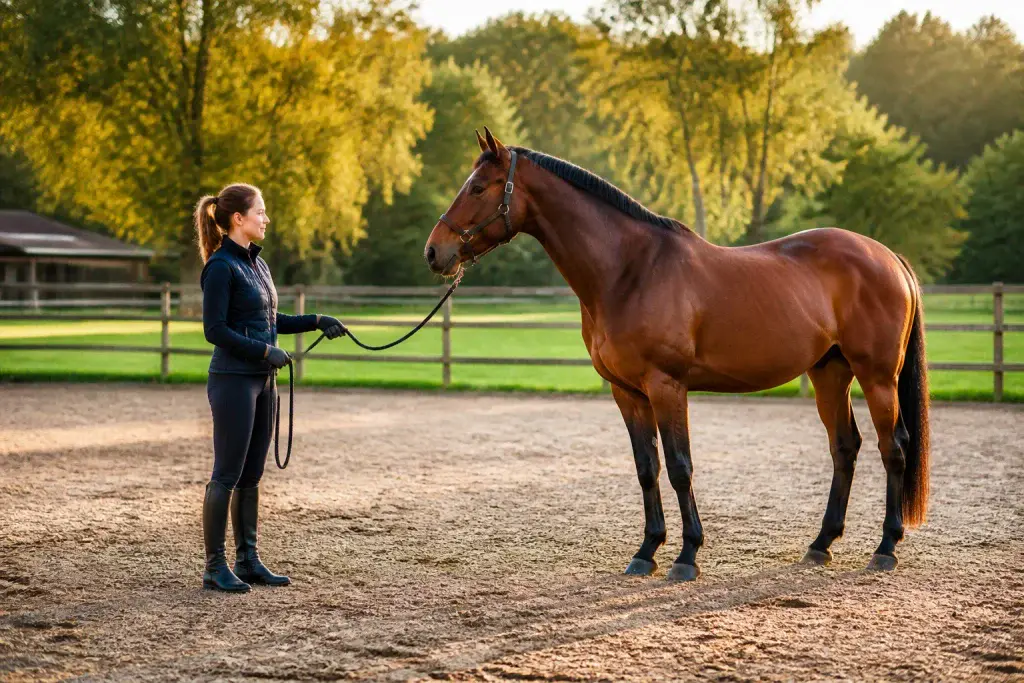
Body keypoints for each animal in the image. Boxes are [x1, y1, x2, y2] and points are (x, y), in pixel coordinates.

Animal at [423, 128, 929, 582]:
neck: (629, 270)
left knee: (894, 447)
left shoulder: (666, 386)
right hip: (830, 373)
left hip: (877, 376)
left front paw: (687, 556)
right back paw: (821, 544)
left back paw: (886, 547)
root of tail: (889, 258)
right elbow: (647, 468)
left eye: (478, 187)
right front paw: (646, 552)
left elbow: (680, 467)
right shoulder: (627, 392)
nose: (434, 252)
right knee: (845, 448)